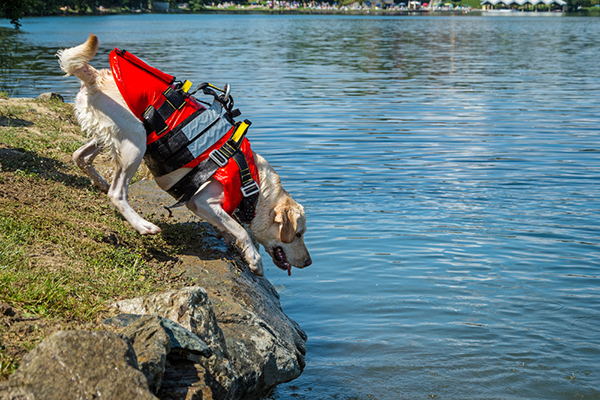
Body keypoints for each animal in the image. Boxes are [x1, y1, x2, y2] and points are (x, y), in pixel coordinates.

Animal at [56, 34, 312, 276]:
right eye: (298, 234)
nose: (309, 262)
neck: (253, 180)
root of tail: (97, 76)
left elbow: (230, 227)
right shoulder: (202, 201)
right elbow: (240, 229)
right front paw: (254, 260)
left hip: (113, 135)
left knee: (80, 156)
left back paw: (100, 182)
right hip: (136, 142)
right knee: (117, 193)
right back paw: (142, 225)